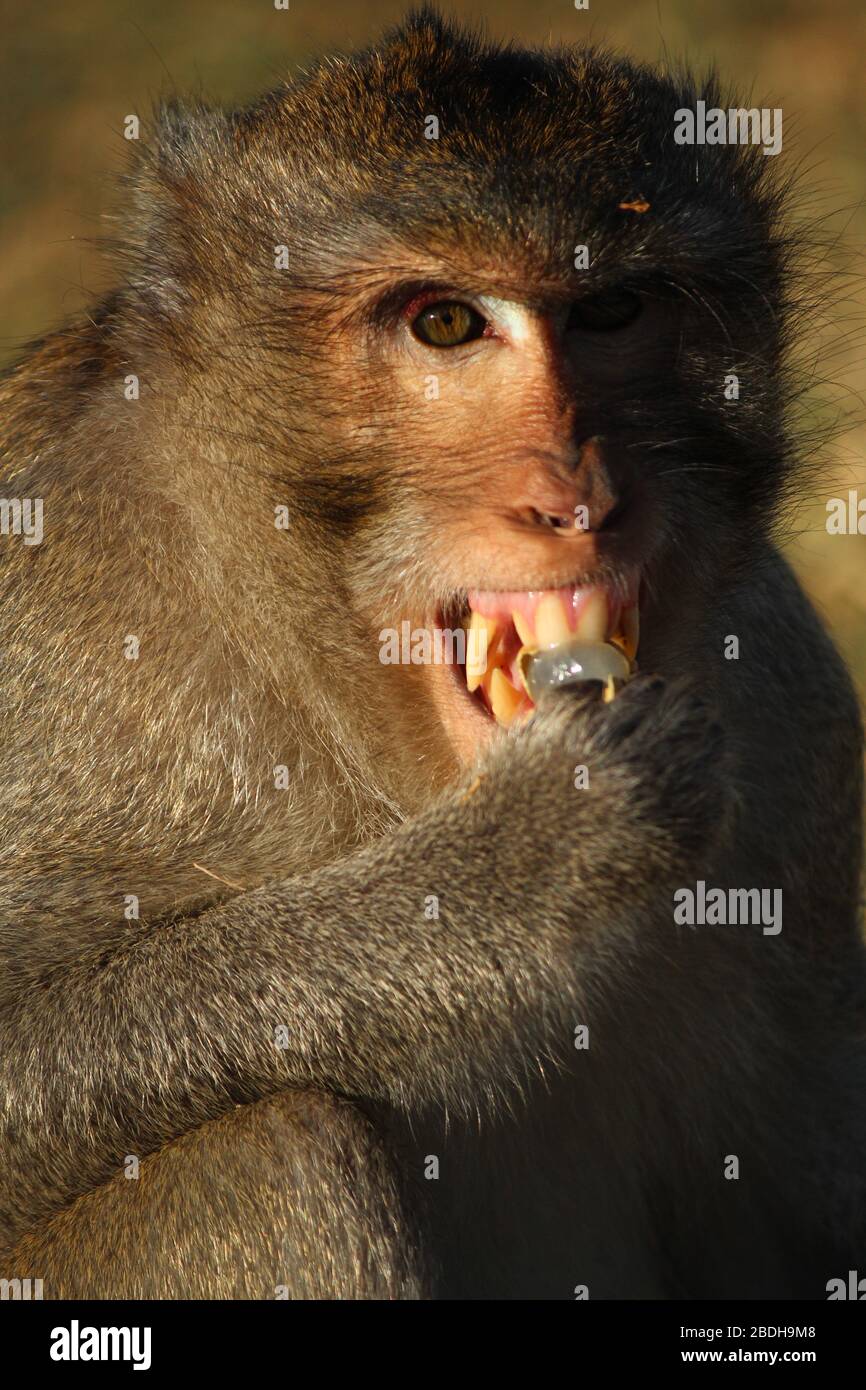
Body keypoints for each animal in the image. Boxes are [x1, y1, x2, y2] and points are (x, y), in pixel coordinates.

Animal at [0, 7, 864, 1300]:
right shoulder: (56, 636)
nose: (573, 497)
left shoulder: (787, 708)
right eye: (445, 323)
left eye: (612, 311)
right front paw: (519, 860)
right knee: (274, 1151)